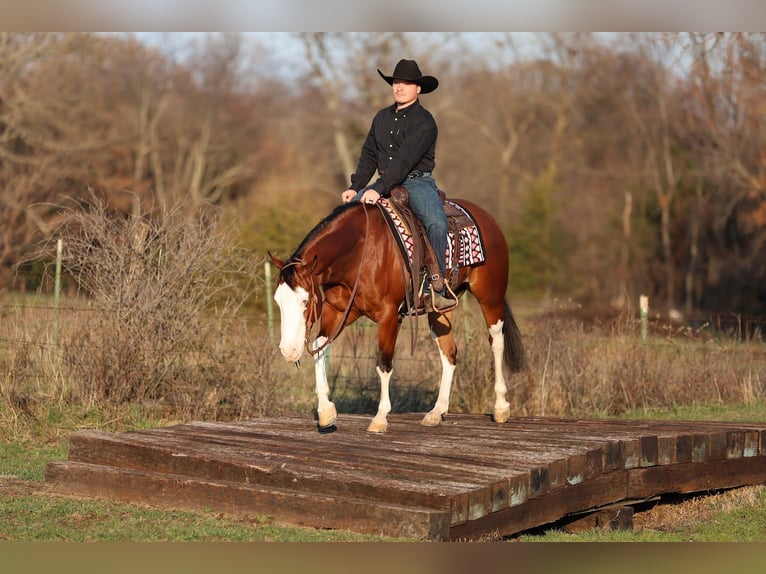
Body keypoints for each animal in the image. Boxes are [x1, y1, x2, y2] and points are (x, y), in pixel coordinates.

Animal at [269, 196, 527, 433]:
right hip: (440, 312)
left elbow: (383, 363)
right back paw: (437, 412)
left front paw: (380, 418)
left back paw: (501, 408)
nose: (288, 351)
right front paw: (326, 412)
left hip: (490, 297)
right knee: (449, 352)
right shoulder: (340, 311)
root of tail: (486, 218)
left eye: (305, 301)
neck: (361, 252)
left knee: (496, 342)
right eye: (278, 301)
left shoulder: (389, 315)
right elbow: (319, 347)